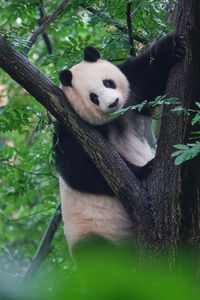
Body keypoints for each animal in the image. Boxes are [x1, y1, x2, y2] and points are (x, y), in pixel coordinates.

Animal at [54, 33, 185, 253]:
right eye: (93, 97)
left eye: (108, 83)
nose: (113, 103)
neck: (113, 119)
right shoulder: (70, 126)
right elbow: (80, 170)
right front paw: (145, 170)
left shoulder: (133, 92)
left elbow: (148, 74)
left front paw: (173, 46)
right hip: (92, 232)